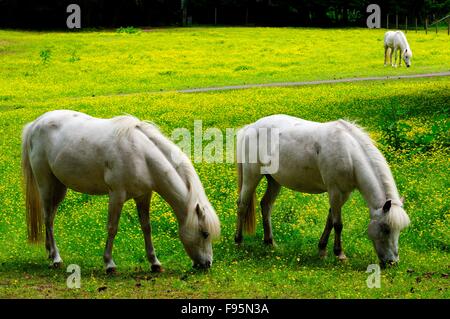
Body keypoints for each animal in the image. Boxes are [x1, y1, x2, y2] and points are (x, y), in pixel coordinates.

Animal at [22, 111, 220, 274]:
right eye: (205, 233)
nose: (207, 264)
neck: (142, 155)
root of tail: (36, 123)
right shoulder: (116, 196)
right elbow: (112, 228)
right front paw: (109, 264)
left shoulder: (143, 196)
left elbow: (146, 227)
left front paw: (154, 263)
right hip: (46, 185)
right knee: (48, 219)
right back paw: (56, 258)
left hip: (59, 188)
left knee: (51, 217)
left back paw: (50, 252)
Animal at [236, 115, 412, 268]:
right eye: (386, 228)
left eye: (400, 230)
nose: (393, 262)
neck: (349, 153)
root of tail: (249, 127)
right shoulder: (334, 191)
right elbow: (338, 224)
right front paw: (340, 254)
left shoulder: (344, 194)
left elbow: (330, 220)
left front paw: (322, 250)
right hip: (252, 176)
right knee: (242, 205)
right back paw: (238, 241)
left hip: (274, 180)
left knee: (266, 205)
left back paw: (270, 242)